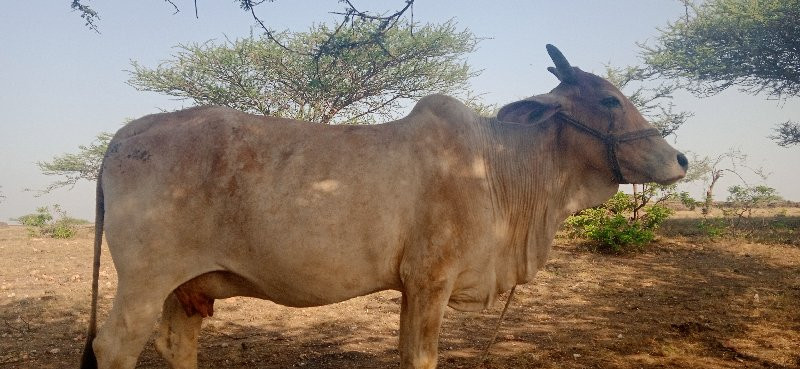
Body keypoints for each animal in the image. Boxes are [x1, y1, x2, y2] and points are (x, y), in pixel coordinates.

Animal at [79, 45, 688, 368]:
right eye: (609, 100)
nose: (679, 159)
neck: (498, 167)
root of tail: (124, 135)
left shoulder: (411, 289)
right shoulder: (429, 279)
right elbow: (420, 357)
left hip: (186, 288)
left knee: (176, 343)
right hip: (145, 280)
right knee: (115, 345)